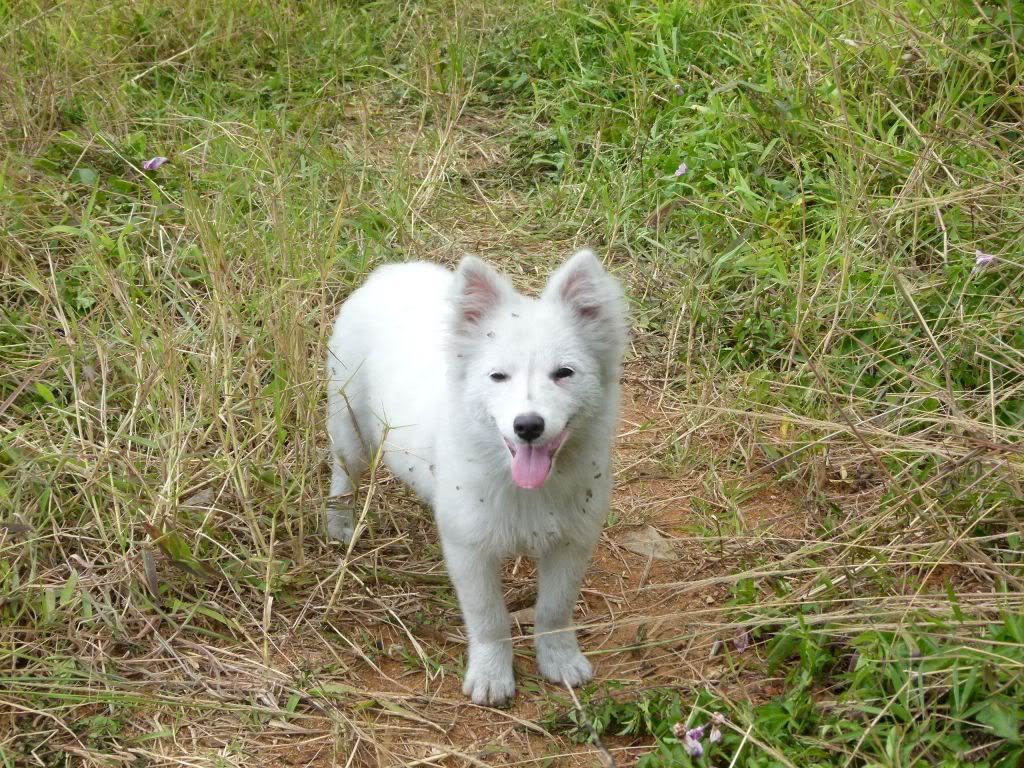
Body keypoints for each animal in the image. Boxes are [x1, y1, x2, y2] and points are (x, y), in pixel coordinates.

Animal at [327, 249, 626, 708]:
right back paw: (341, 524)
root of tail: (392, 271)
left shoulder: (572, 542)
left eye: (564, 373)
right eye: (497, 377)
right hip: (349, 424)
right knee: (343, 475)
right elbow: (489, 618)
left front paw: (559, 660)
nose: (528, 426)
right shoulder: (470, 550)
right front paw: (491, 675)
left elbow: (554, 610)